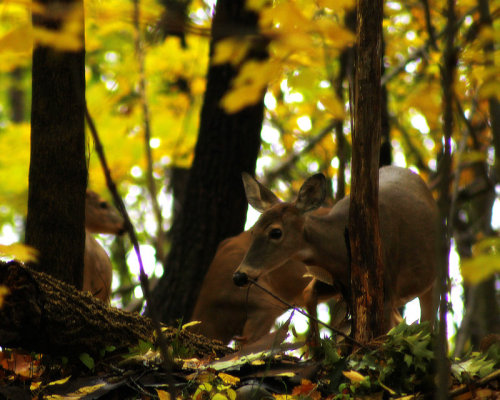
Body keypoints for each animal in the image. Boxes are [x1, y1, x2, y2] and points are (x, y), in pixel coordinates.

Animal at [234, 166, 438, 332]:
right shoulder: (335, 281)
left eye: (276, 232)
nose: (239, 276)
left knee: (428, 324)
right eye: (252, 231)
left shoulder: (386, 286)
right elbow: (307, 295)